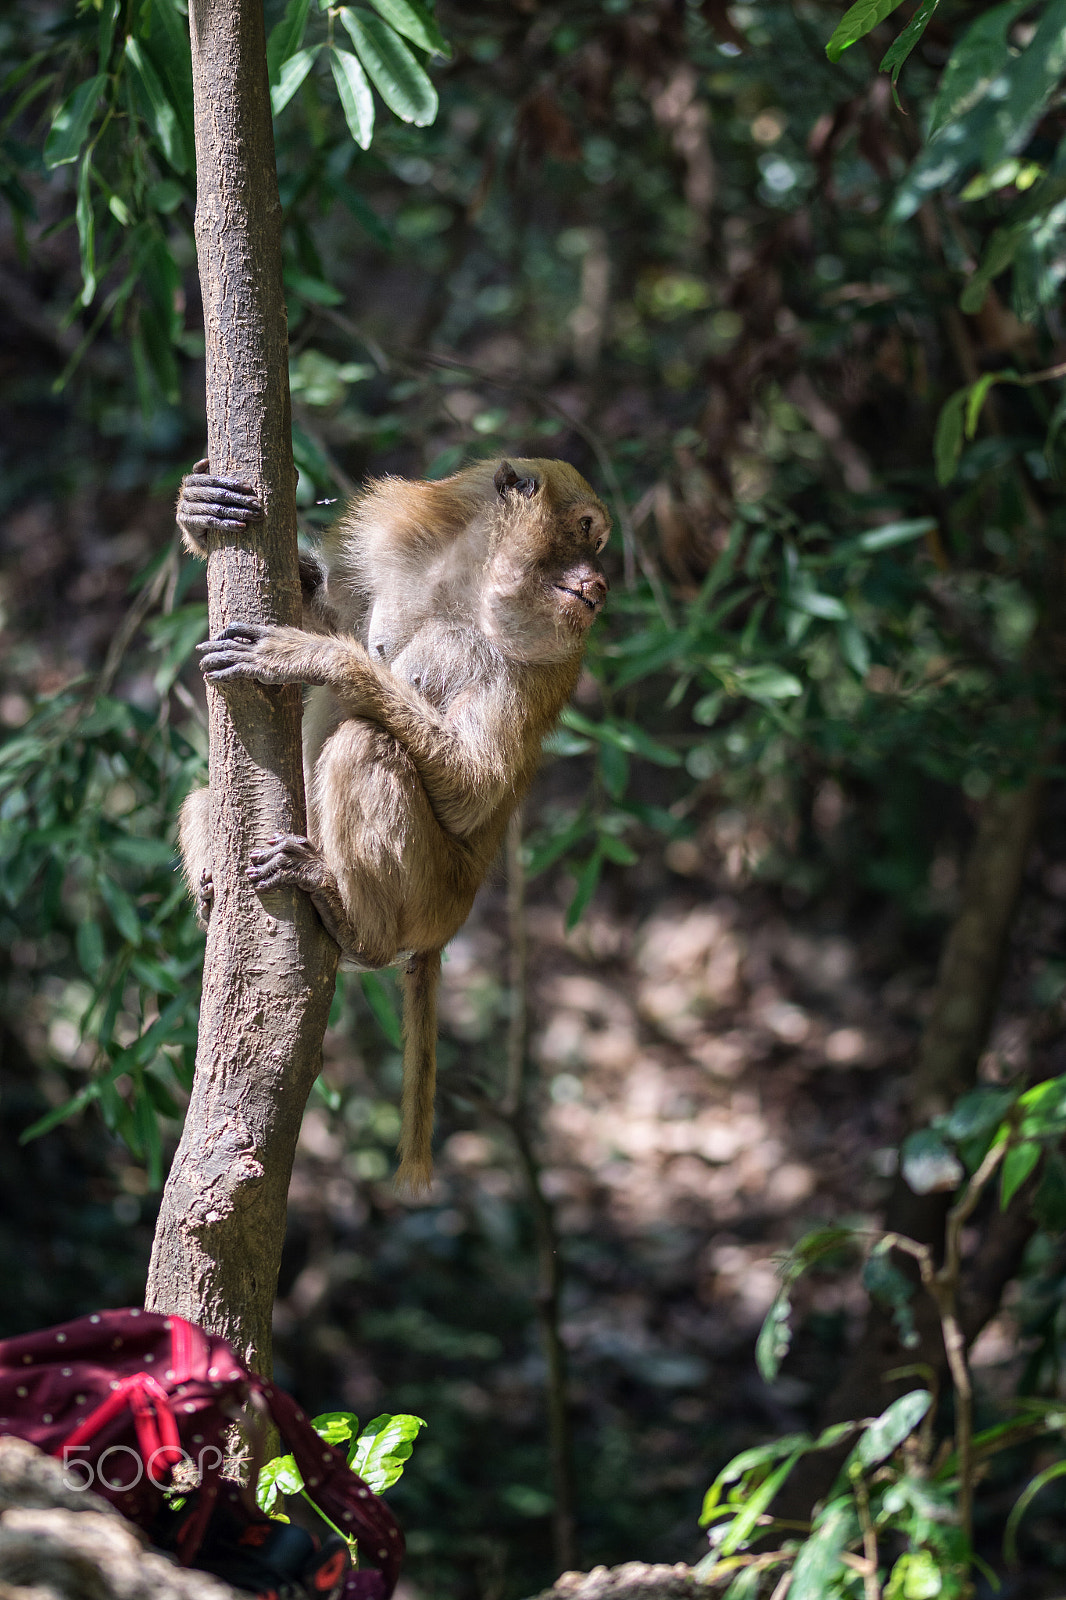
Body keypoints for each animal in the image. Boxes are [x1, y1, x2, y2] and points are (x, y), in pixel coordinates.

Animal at [177, 457, 610, 1191]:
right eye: (585, 533)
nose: (600, 584)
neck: (467, 588)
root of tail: (449, 925)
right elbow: (330, 608)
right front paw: (201, 512)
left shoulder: (538, 660)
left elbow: (473, 791)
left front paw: (317, 659)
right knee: (206, 797)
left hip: (430, 893)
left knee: (365, 744)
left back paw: (354, 923)